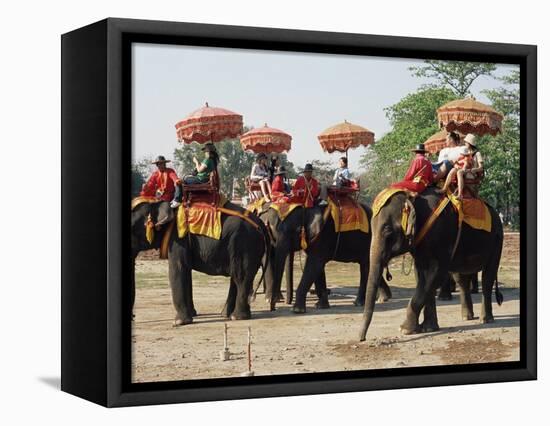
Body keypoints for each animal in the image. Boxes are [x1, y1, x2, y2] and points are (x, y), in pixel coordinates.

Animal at [134, 201, 272, 324]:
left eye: (133, 228)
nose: (134, 317)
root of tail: (260, 223)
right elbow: (186, 271)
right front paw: (192, 314)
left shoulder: (178, 239)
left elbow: (178, 268)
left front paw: (179, 322)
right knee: (237, 276)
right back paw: (226, 315)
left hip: (245, 244)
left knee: (241, 277)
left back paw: (236, 317)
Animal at [258, 200, 392, 312]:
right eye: (274, 230)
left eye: (295, 231)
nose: (273, 308)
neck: (307, 208)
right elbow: (318, 268)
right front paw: (320, 306)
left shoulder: (323, 236)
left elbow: (314, 265)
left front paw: (297, 310)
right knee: (369, 266)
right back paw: (383, 298)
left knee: (365, 267)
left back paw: (359, 302)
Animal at [358, 188, 504, 342]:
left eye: (388, 231)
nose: (362, 339)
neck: (413, 198)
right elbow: (421, 276)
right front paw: (428, 328)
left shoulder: (442, 236)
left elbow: (436, 275)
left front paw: (405, 329)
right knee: (461, 278)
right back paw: (466, 317)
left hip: (497, 240)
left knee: (488, 276)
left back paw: (485, 320)